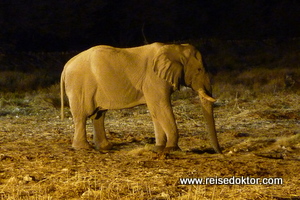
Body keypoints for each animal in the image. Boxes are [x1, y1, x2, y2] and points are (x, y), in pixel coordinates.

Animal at [59, 42, 221, 153]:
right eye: (199, 70)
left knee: (99, 115)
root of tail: (66, 66)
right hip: (79, 85)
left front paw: (158, 148)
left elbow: (156, 110)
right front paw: (172, 149)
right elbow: (161, 107)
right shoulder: (154, 79)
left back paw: (106, 147)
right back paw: (84, 148)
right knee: (82, 115)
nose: (220, 152)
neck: (175, 47)